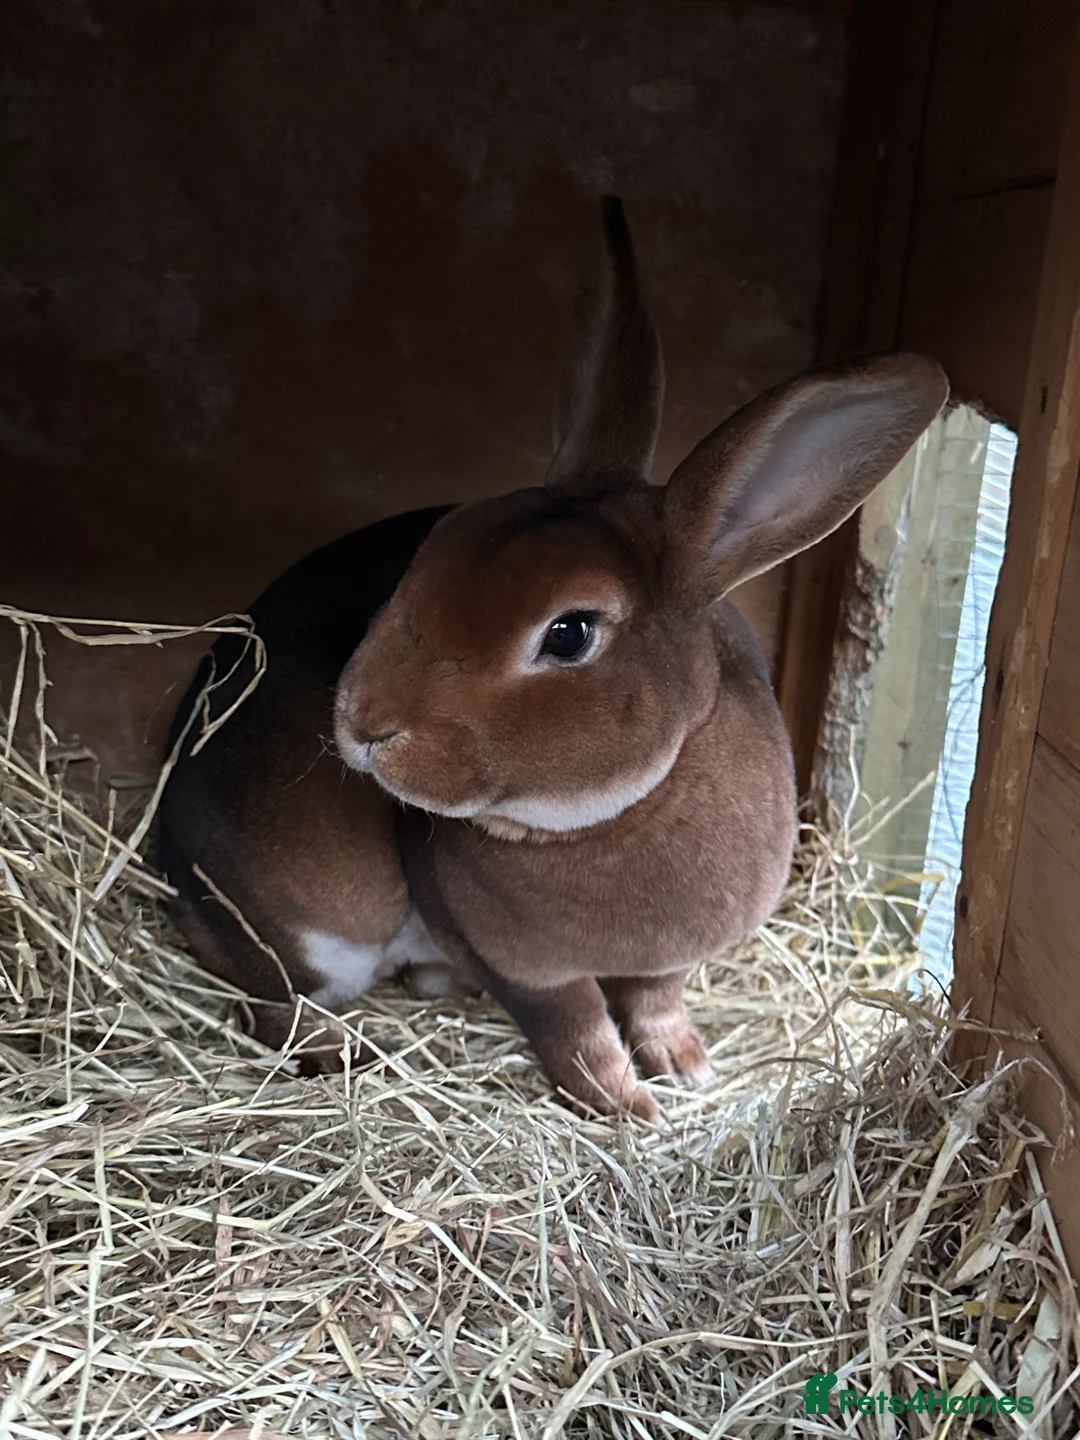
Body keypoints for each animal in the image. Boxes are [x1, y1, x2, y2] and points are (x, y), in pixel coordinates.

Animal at [158, 198, 947, 1120]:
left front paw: (685, 1067)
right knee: (268, 999)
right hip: (326, 922)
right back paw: (338, 1051)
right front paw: (626, 1106)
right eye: (429, 552)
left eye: (568, 634)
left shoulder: (665, 963)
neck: (624, 809)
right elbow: (573, 1027)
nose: (362, 726)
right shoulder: (527, 969)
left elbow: (656, 999)